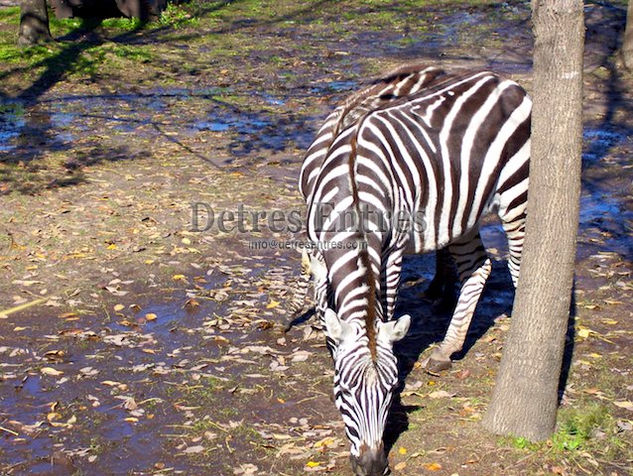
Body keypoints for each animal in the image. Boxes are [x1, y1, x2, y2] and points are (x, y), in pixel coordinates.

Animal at [296, 67, 528, 476]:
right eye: (344, 391)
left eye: (390, 393)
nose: (373, 467)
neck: (351, 188)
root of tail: (503, 80)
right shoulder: (321, 254)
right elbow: (330, 307)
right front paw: (330, 342)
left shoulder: (393, 252)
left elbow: (385, 308)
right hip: (461, 209)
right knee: (479, 266)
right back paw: (445, 351)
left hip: (517, 191)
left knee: (519, 263)